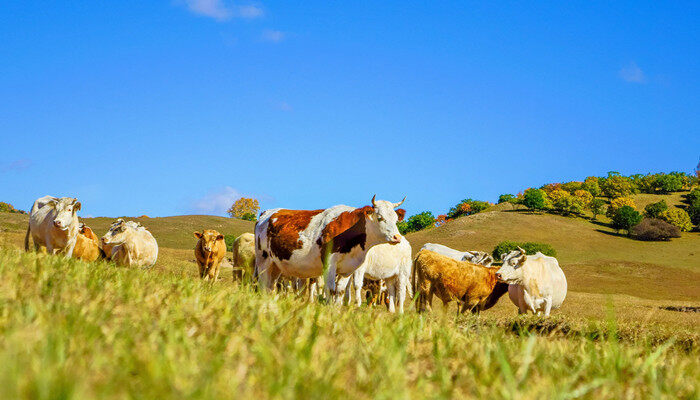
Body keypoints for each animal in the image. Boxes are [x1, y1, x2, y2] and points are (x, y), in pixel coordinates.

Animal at [256, 195, 410, 296]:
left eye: (396, 219)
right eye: (380, 218)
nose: (397, 237)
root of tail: (266, 213)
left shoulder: (348, 269)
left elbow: (339, 292)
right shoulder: (329, 264)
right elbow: (330, 290)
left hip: (276, 265)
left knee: (270, 287)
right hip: (263, 260)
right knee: (263, 285)